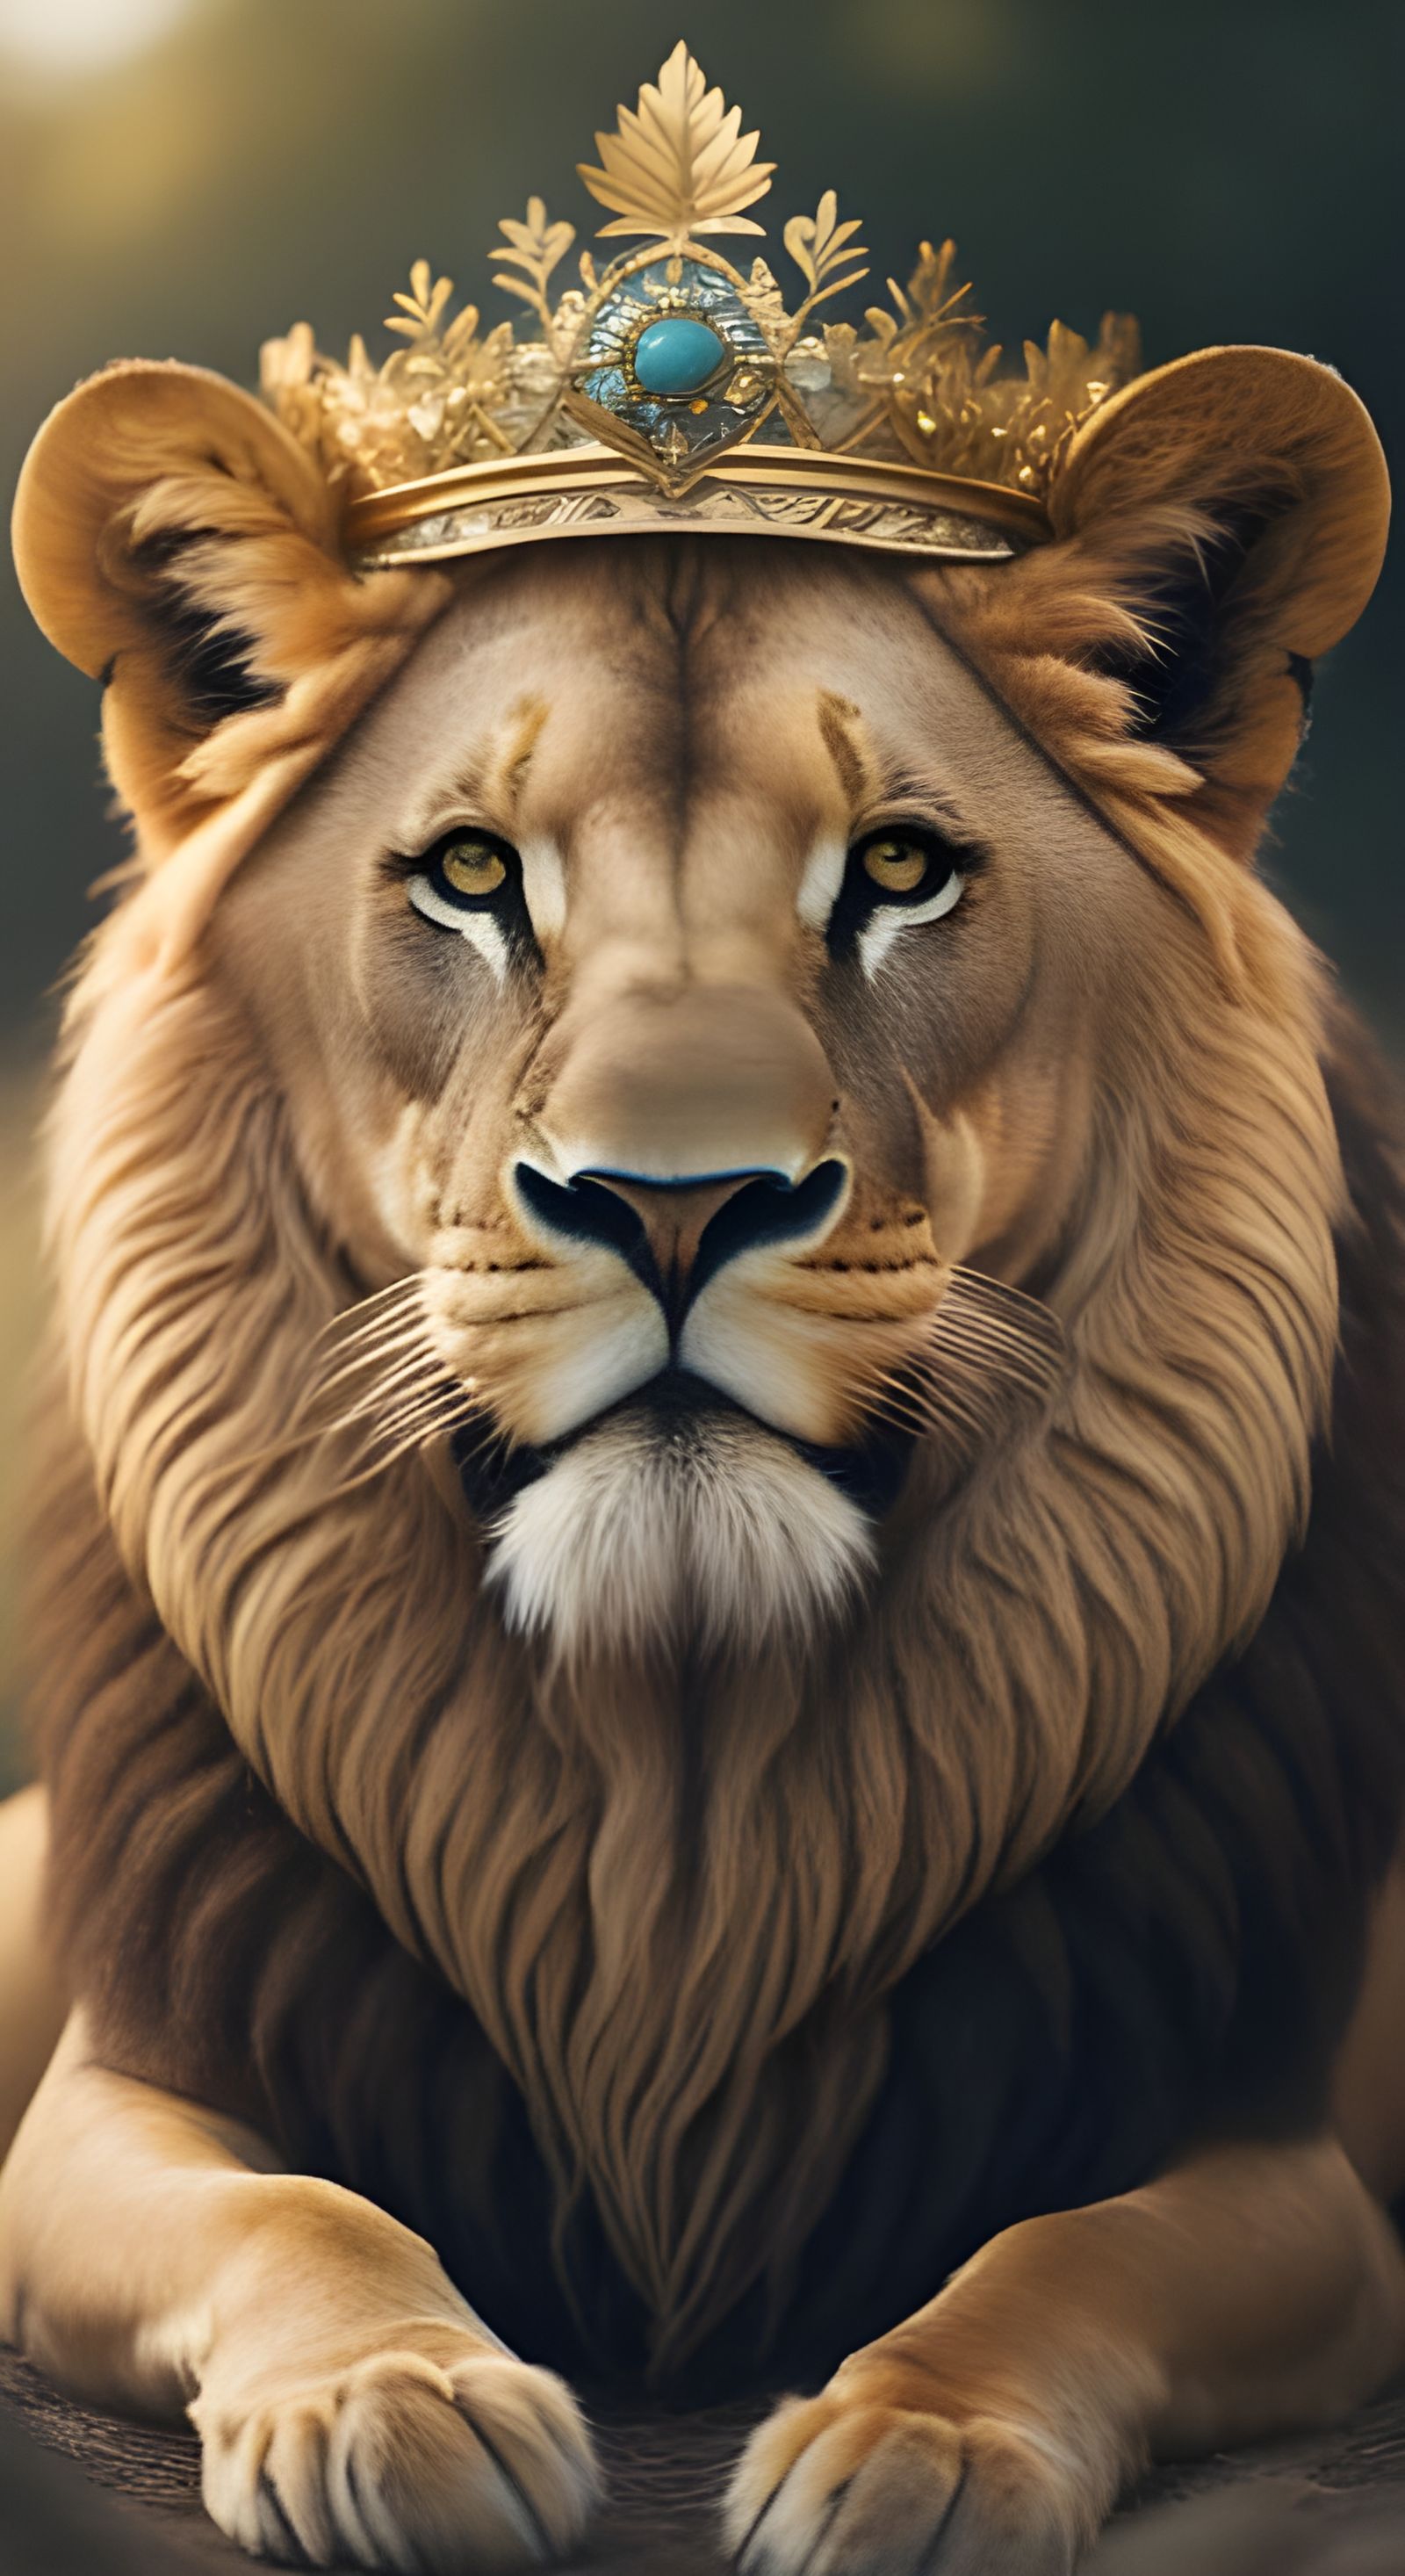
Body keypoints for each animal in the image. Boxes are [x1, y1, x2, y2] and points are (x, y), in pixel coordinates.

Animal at [0, 324, 1403, 2576]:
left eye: (898, 870)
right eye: (471, 874)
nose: (673, 1206)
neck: (676, 1772)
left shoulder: (1278, 2169)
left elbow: (1064, 2254)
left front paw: (917, 2448)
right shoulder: (108, 2103)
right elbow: (290, 2207)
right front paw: (395, 2399)